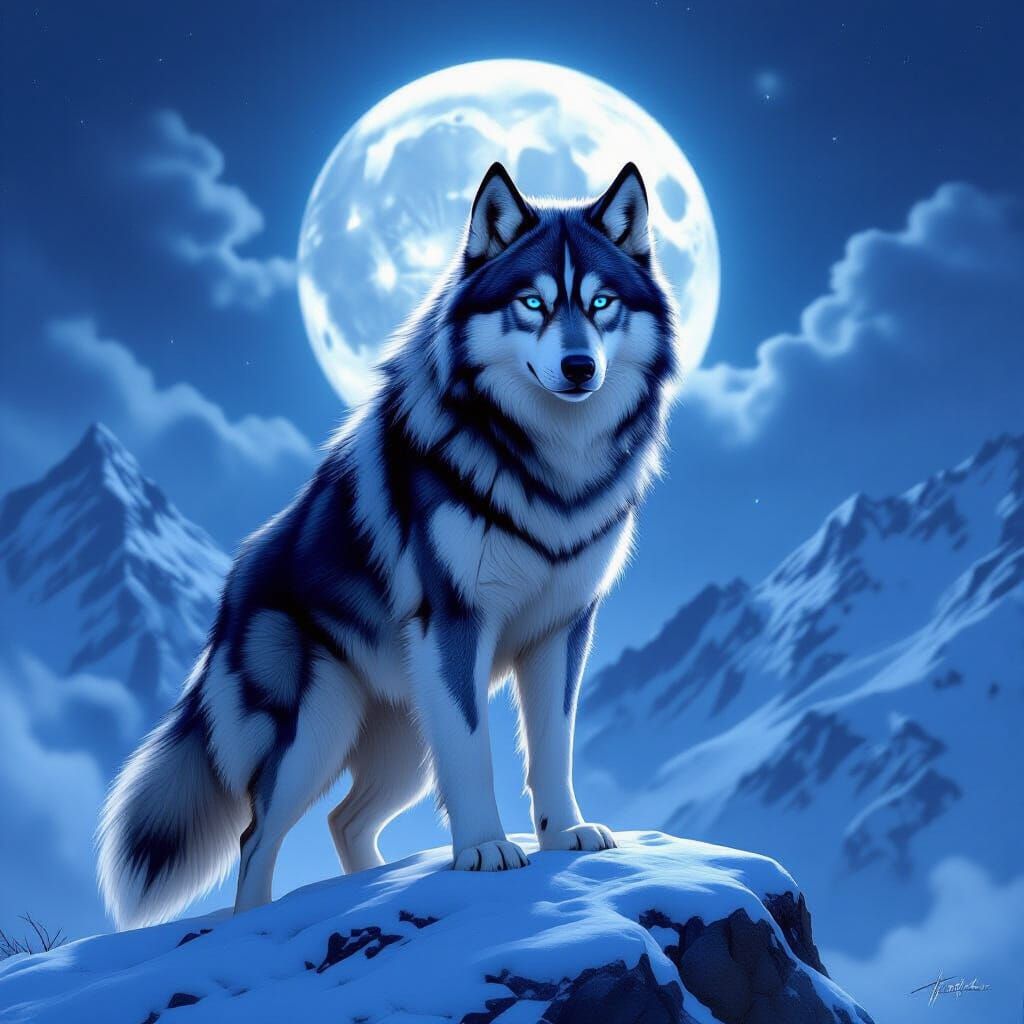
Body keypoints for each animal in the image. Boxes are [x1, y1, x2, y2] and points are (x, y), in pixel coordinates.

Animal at [97, 161, 680, 929]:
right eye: (532, 302)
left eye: (601, 302)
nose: (580, 367)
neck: (548, 465)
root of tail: (231, 584)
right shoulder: (456, 621)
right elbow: (474, 755)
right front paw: (485, 850)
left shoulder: (562, 629)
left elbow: (552, 748)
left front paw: (565, 835)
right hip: (318, 730)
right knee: (258, 835)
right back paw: (255, 923)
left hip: (403, 744)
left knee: (344, 821)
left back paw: (369, 888)